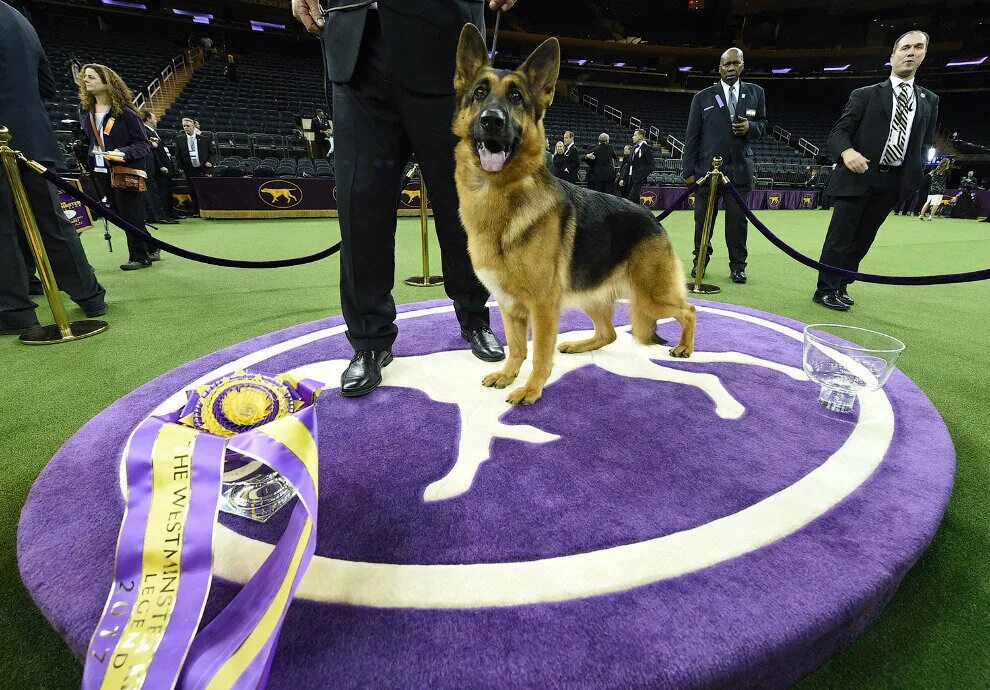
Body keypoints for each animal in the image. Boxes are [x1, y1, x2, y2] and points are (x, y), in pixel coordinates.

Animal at [454, 26, 692, 404]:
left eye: (516, 97)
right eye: (479, 92)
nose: (492, 120)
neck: (500, 195)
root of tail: (653, 218)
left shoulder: (543, 305)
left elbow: (538, 352)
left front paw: (532, 388)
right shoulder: (509, 305)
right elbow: (517, 348)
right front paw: (508, 375)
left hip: (650, 297)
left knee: (689, 310)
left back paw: (685, 348)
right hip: (593, 294)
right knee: (609, 333)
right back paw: (581, 345)